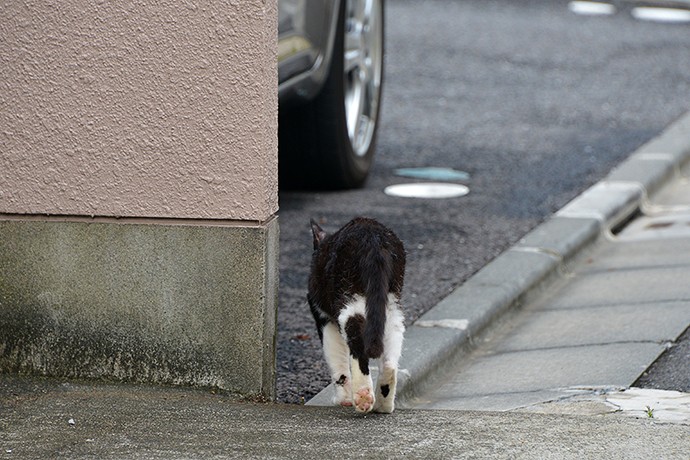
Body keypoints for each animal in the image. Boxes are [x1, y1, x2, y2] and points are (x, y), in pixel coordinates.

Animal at [306, 217, 404, 414]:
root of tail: (375, 238)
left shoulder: (323, 316)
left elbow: (336, 358)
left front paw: (343, 399)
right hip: (391, 302)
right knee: (392, 348)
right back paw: (383, 404)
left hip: (350, 296)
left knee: (355, 335)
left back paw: (363, 395)